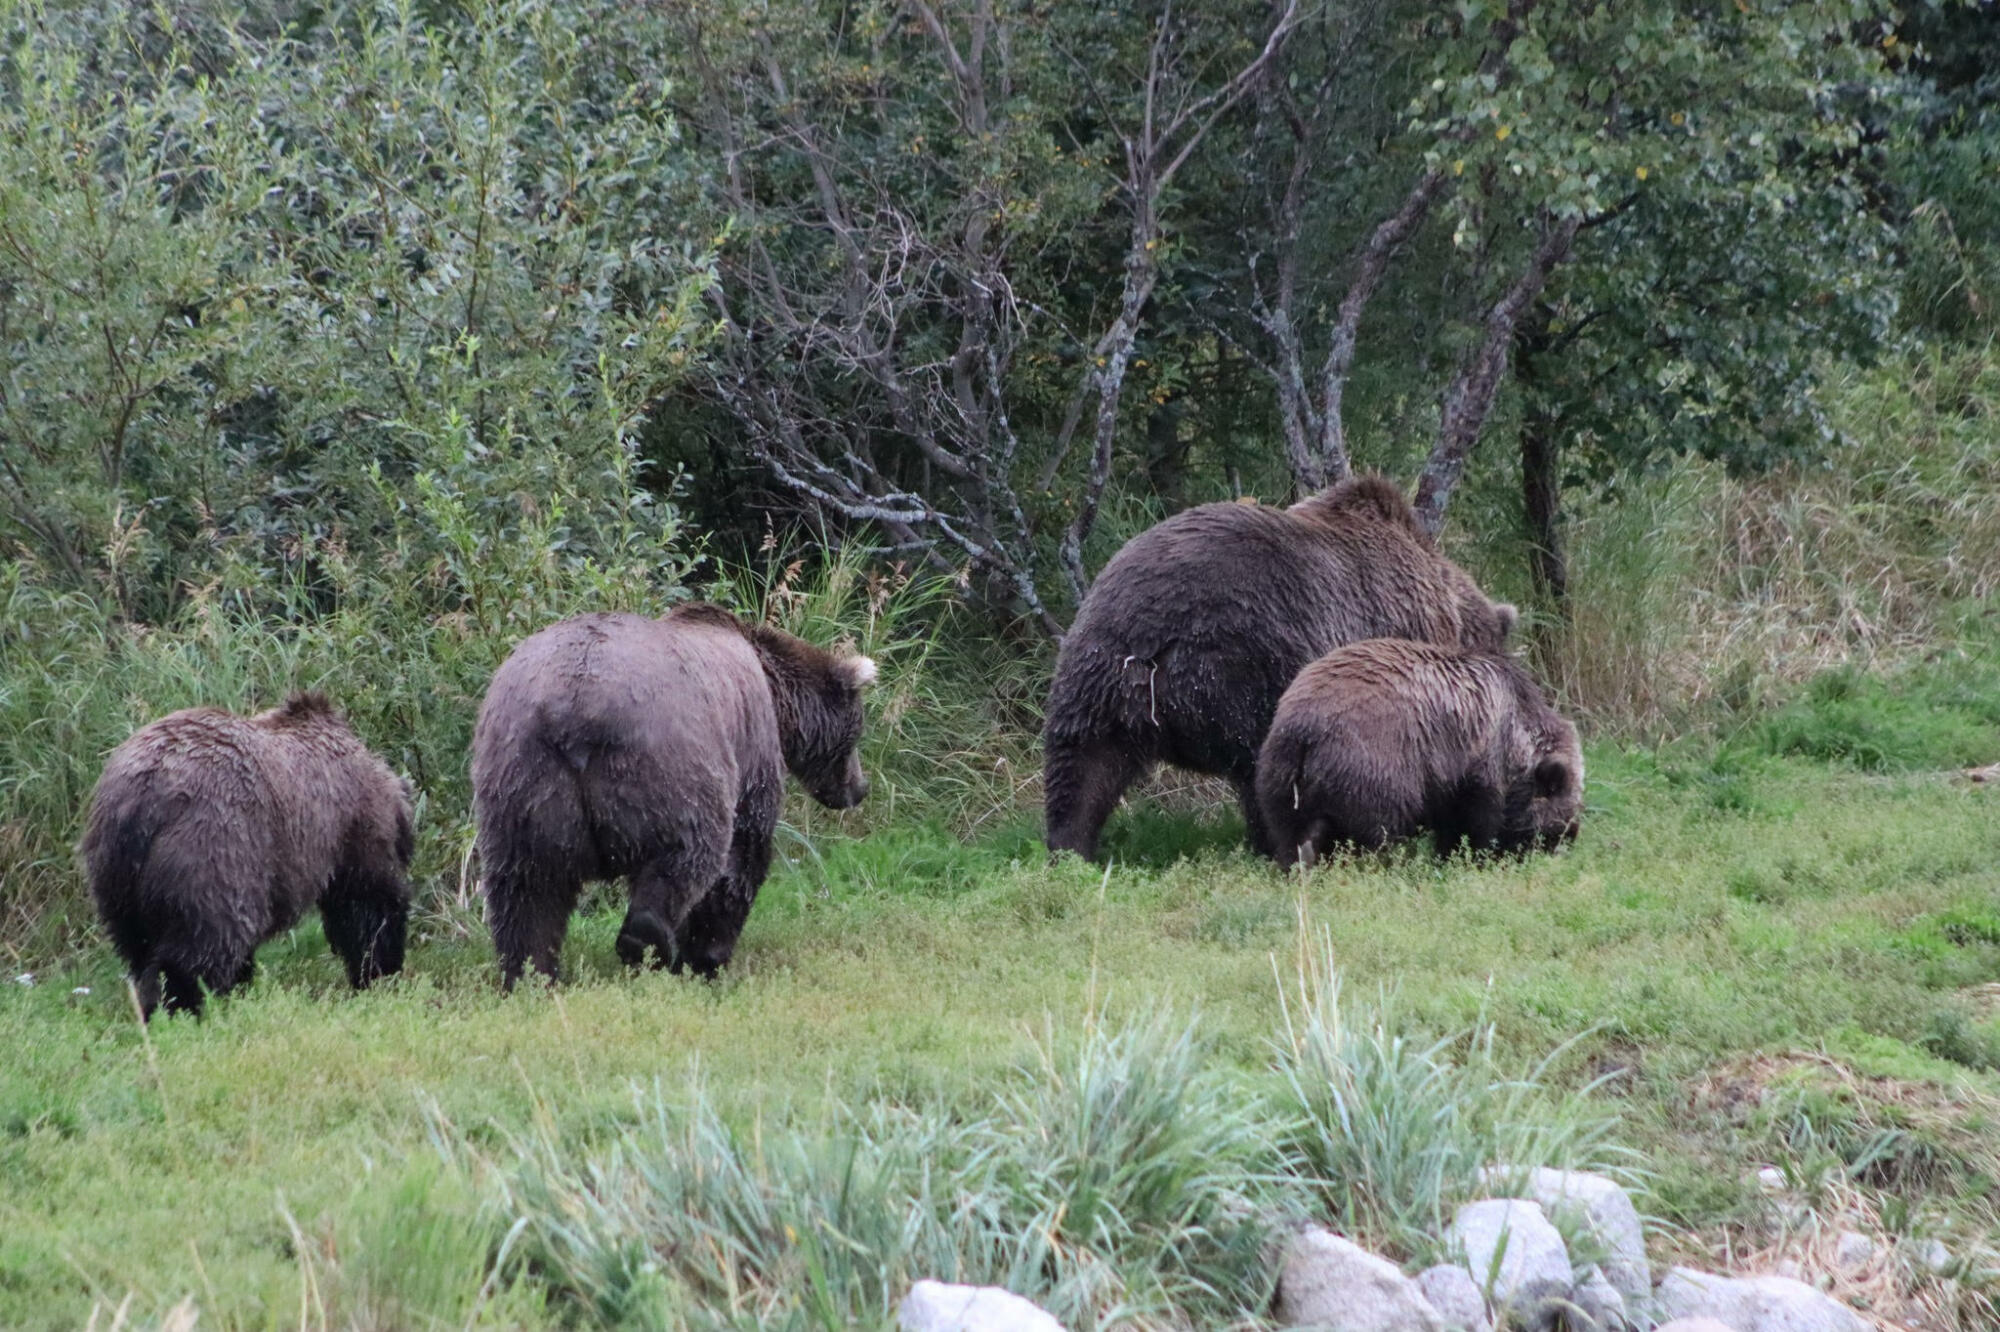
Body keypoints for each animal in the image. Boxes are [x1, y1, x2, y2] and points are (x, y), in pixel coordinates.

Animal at [80, 688, 416, 1012]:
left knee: (138, 947)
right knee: (204, 944)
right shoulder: (350, 829)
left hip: (115, 873)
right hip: (214, 844)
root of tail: (143, 798)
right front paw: (378, 971)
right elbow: (367, 906)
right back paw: (188, 1007)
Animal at [472, 604, 880, 984]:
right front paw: (709, 955)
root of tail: (572, 710)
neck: (775, 691)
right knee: (687, 855)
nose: (860, 788)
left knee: (527, 890)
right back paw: (648, 945)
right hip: (666, 766)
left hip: (525, 779)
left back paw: (531, 974)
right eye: (858, 730)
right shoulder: (751, 748)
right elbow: (743, 854)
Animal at [1048, 472, 1512, 856]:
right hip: (1247, 663)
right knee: (1260, 768)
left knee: (1081, 771)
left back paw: (1070, 850)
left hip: (1095, 670)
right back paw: (1275, 846)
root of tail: (1153, 642)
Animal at [1256, 632, 1584, 860]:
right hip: (1374, 763)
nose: (1565, 841)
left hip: (1280, 776)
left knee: (1290, 834)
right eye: (1560, 822)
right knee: (1377, 832)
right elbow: (1477, 822)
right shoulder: (1475, 761)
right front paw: (1475, 856)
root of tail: (1303, 731)